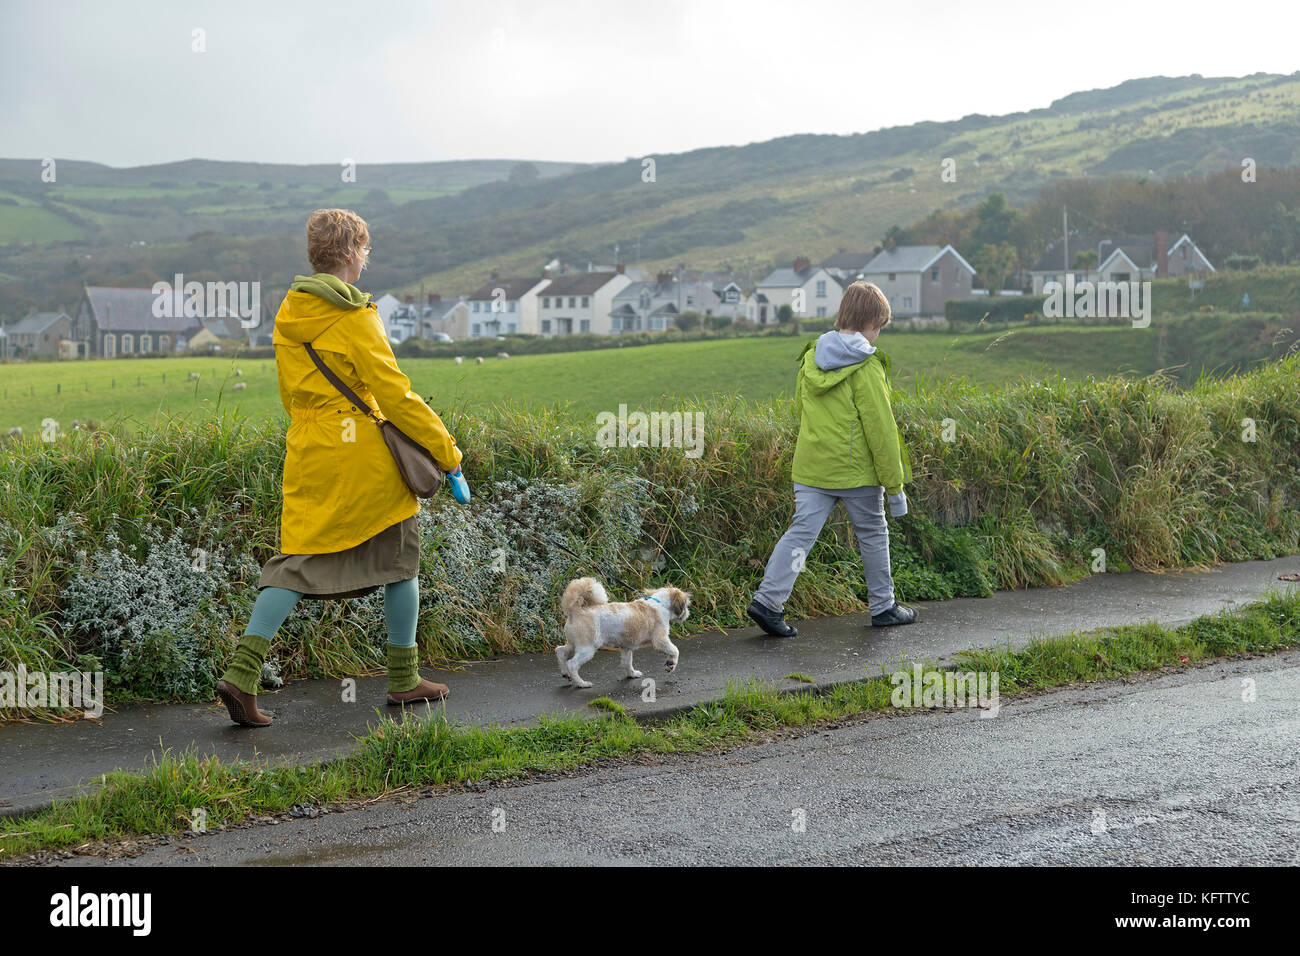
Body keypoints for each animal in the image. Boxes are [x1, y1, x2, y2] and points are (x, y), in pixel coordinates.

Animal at [556, 574, 691, 686]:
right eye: (686, 605)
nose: (687, 613)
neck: (659, 604)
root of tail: (575, 610)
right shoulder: (660, 641)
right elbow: (675, 650)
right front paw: (671, 664)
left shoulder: (626, 647)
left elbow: (627, 662)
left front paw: (632, 674)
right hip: (587, 648)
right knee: (572, 664)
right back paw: (581, 683)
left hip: (573, 643)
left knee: (560, 651)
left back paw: (565, 673)